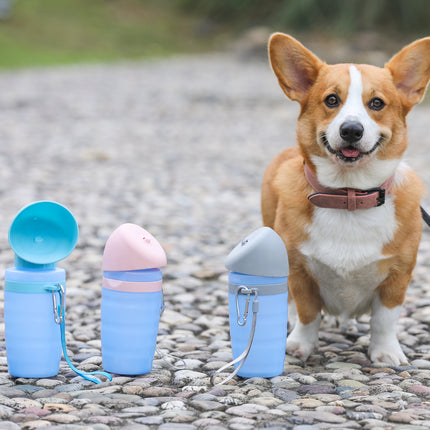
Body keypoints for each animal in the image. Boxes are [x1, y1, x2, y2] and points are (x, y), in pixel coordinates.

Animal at [262, 33, 430, 364]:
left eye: (377, 103)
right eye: (331, 100)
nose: (351, 130)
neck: (348, 194)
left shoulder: (398, 276)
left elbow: (384, 320)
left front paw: (386, 353)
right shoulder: (299, 270)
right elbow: (307, 312)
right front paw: (300, 346)